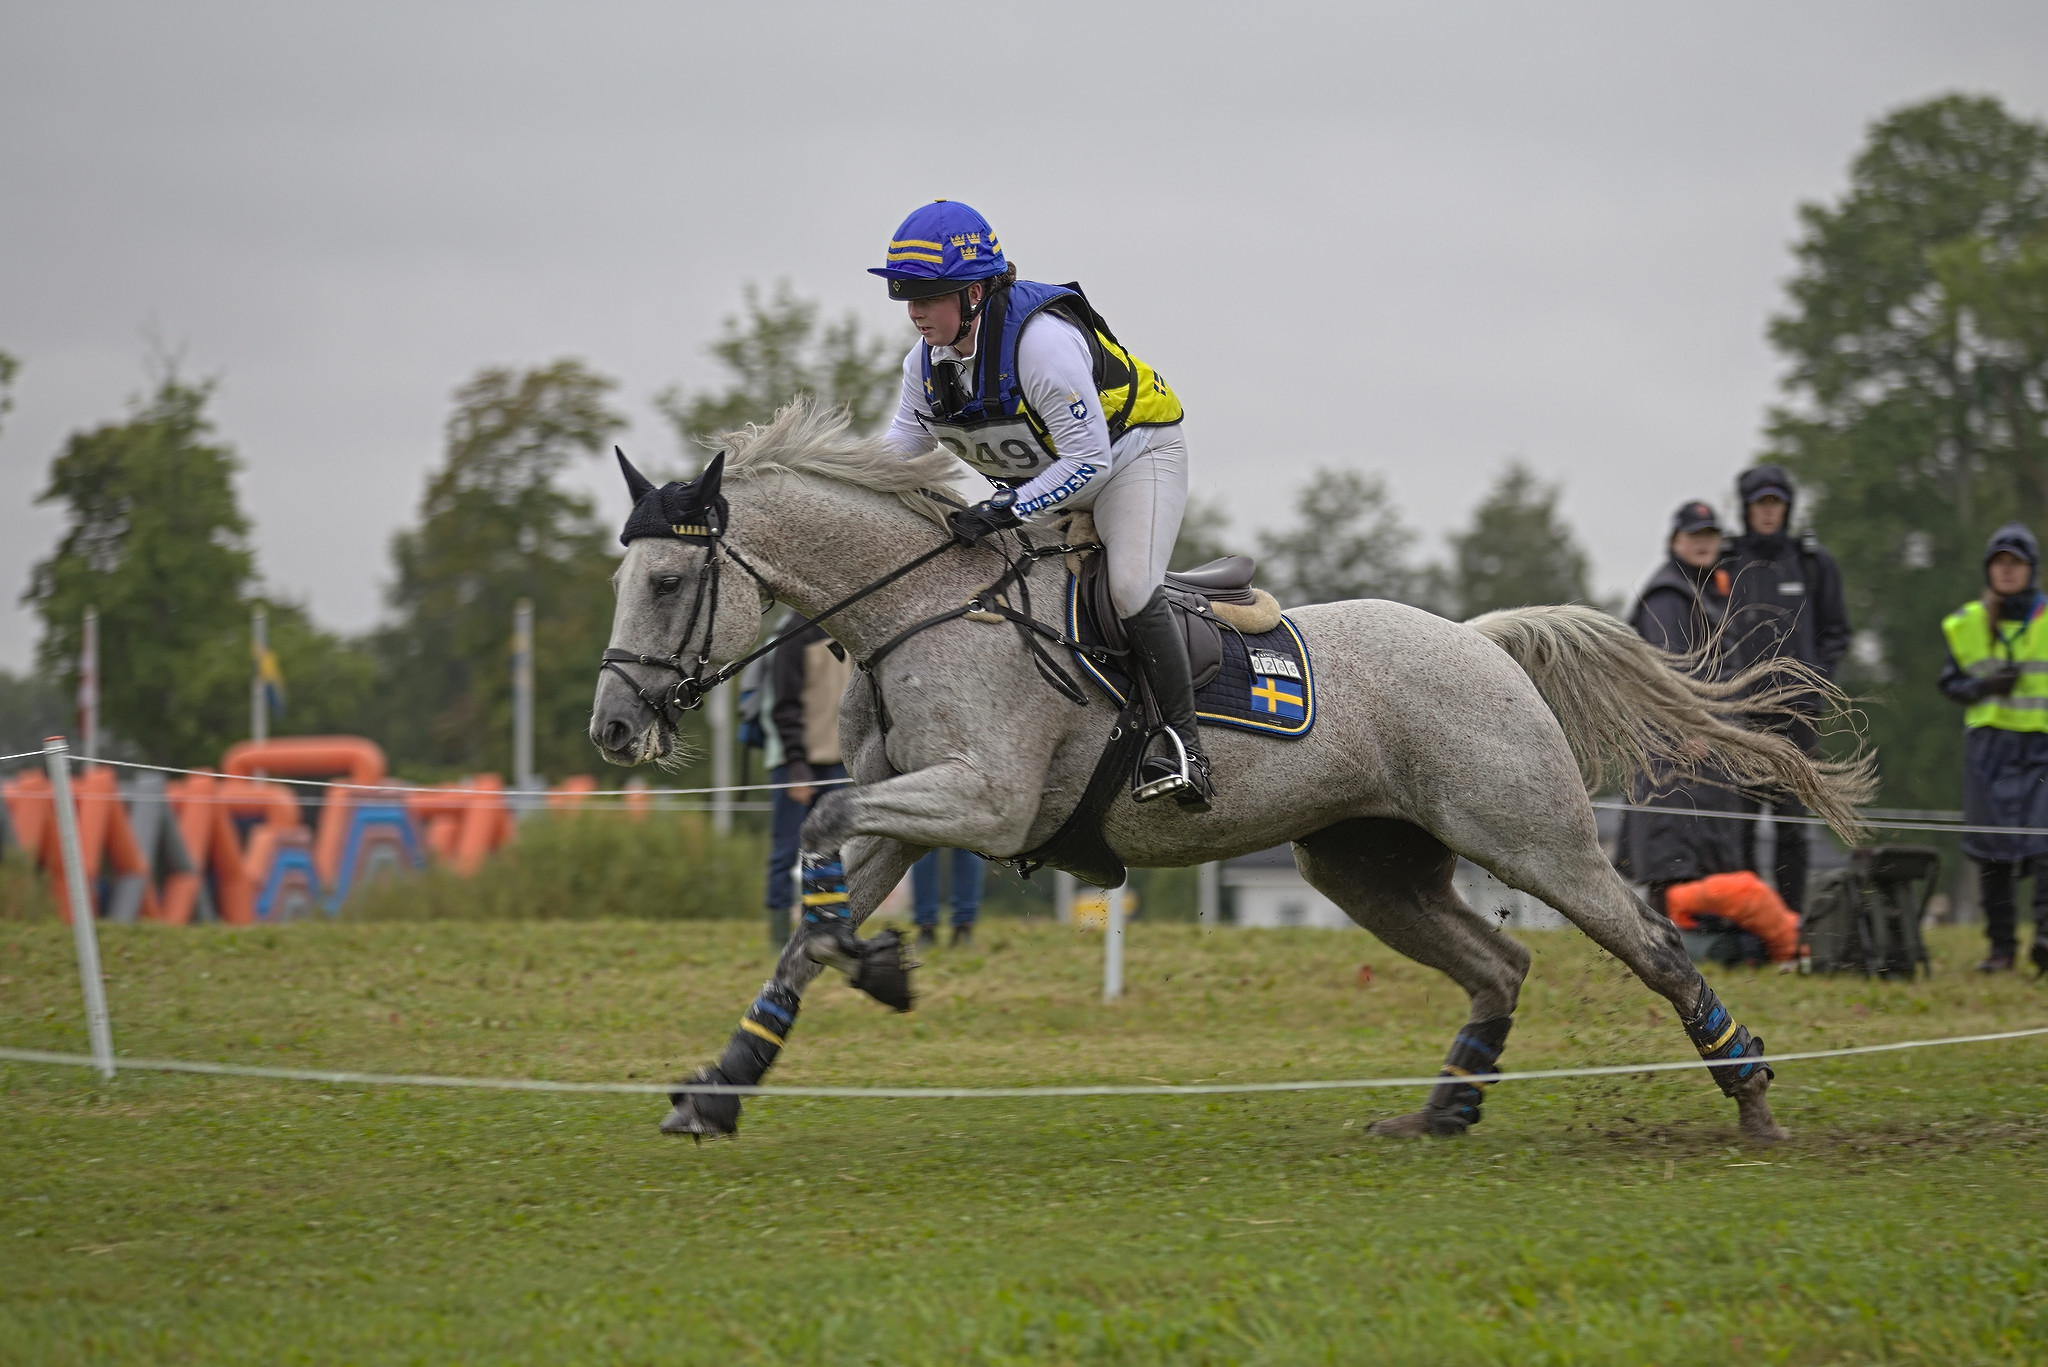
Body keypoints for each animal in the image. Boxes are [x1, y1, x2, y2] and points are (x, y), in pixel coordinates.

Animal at [589, 403, 1875, 1147]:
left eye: (667, 582)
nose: (610, 726)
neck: (919, 605)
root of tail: (1479, 641)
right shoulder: (914, 816)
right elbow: (807, 919)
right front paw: (725, 1081)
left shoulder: (980, 801)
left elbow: (820, 830)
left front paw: (882, 969)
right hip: (1364, 865)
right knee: (1498, 963)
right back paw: (1444, 1106)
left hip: (1531, 839)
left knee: (1650, 942)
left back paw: (1750, 1094)